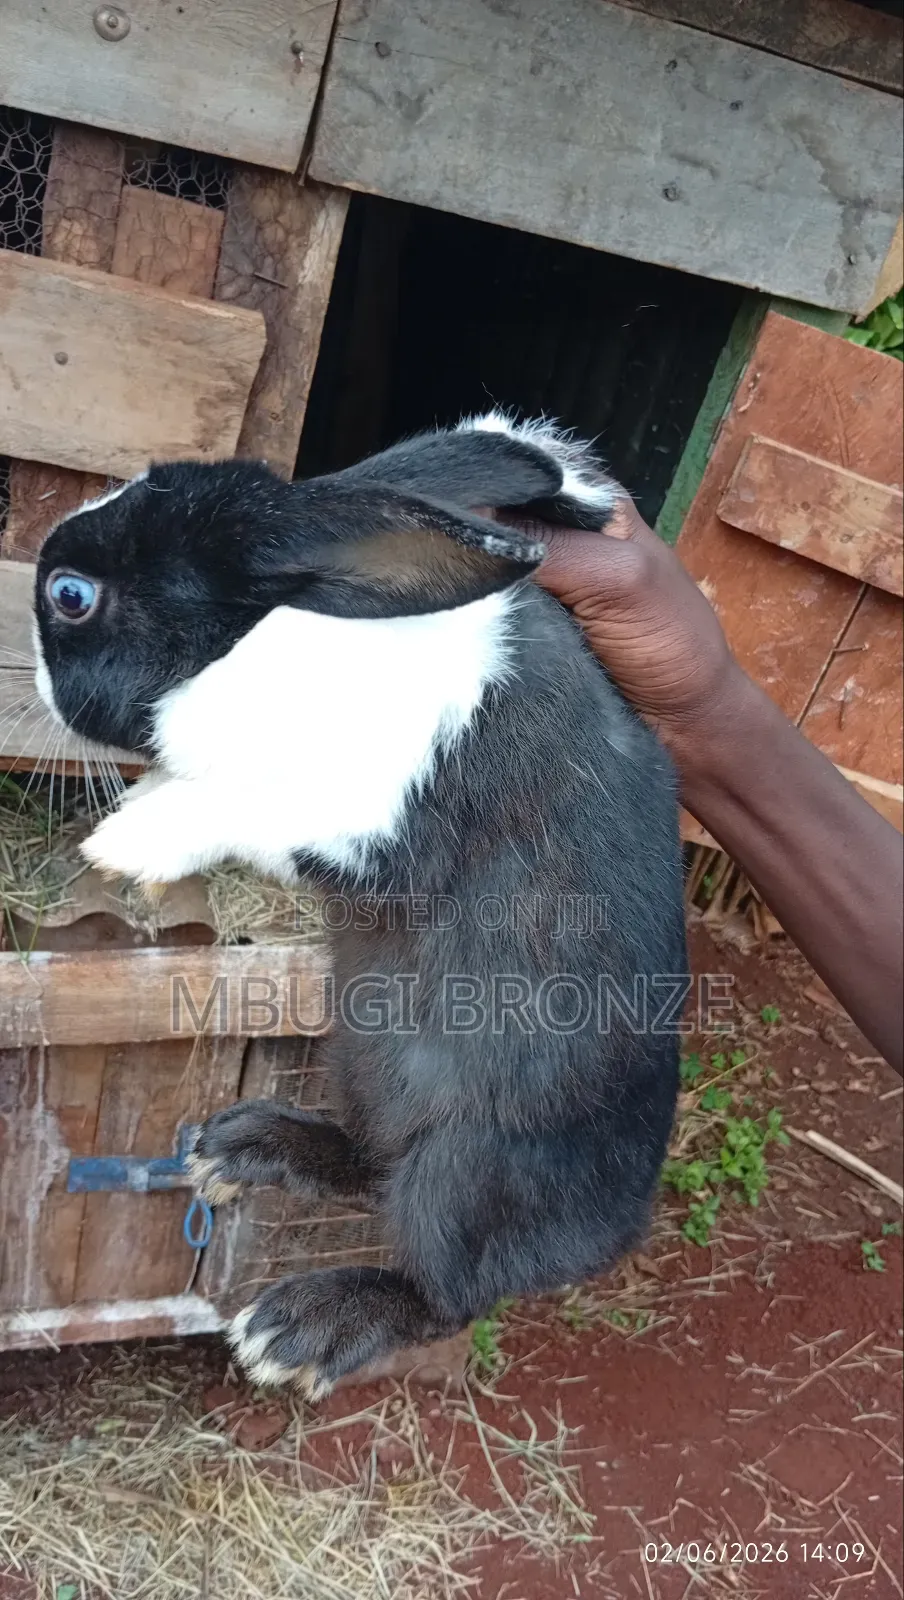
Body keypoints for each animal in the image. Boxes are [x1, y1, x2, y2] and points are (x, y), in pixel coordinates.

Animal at [33, 413, 685, 1397]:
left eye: (71, 596)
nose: (31, 679)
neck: (266, 641)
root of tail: (613, 1230)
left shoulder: (364, 827)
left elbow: (239, 807)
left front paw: (128, 840)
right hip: (364, 1060)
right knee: (372, 1163)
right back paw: (245, 1146)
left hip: (463, 1169)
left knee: (447, 1287)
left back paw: (300, 1330)